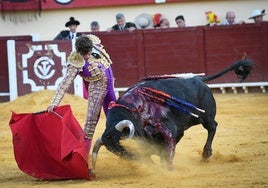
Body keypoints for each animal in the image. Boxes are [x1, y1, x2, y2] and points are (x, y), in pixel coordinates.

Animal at [92, 58, 253, 170]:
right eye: (119, 153)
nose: (144, 164)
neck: (134, 109)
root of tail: (198, 79)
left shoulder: (167, 130)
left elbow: (166, 150)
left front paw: (168, 170)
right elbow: (161, 150)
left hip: (205, 116)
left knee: (212, 126)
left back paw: (206, 154)